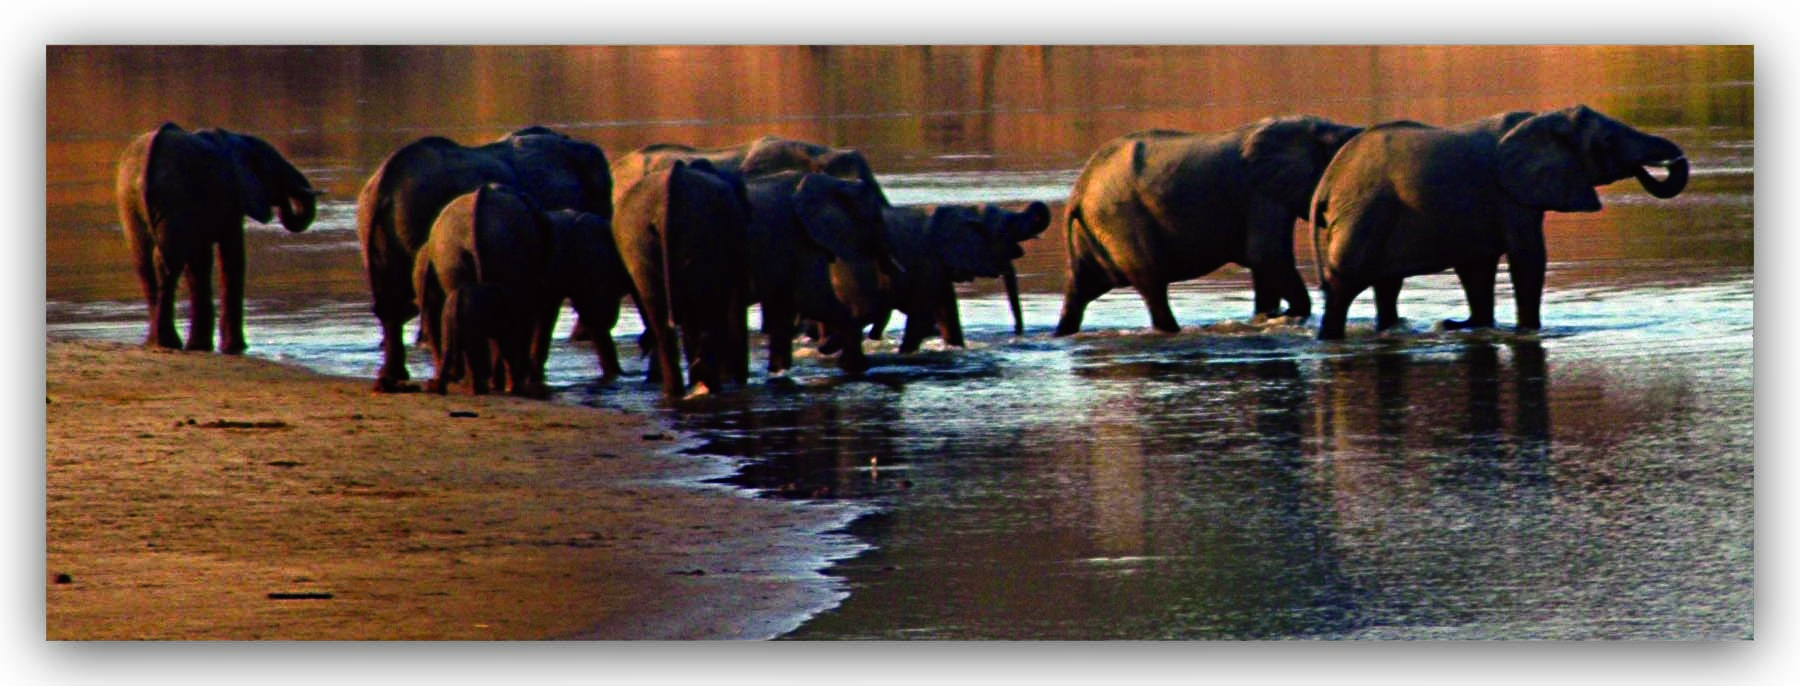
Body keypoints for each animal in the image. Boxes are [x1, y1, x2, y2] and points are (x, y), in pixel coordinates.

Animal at [115, 122, 322, 353]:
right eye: (275, 168)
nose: (283, 201)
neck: (238, 140)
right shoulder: (231, 197)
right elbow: (232, 255)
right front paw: (234, 348)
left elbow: (200, 261)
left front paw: (200, 347)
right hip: (174, 197)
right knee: (167, 260)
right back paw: (167, 342)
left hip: (130, 200)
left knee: (144, 262)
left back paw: (157, 343)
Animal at [612, 159, 754, 398]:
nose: (742, 380)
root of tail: (666, 205)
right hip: (703, 238)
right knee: (709, 306)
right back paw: (707, 384)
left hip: (639, 241)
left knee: (659, 314)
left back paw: (678, 391)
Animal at [1054, 115, 1366, 336]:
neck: (1321, 128)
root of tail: (1078, 192)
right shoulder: (1262, 192)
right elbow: (1267, 256)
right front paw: (1286, 317)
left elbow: (1263, 267)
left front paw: (1266, 319)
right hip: (1121, 220)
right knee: (1152, 284)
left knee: (1079, 292)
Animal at [1310, 105, 1689, 340]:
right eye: (1608, 141)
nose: (1667, 162)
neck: (1545, 118)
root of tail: (1326, 184)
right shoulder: (1510, 195)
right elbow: (1528, 258)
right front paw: (1529, 331)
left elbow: (1478, 267)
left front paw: (1463, 325)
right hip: (1362, 214)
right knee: (1343, 285)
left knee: (1386, 285)